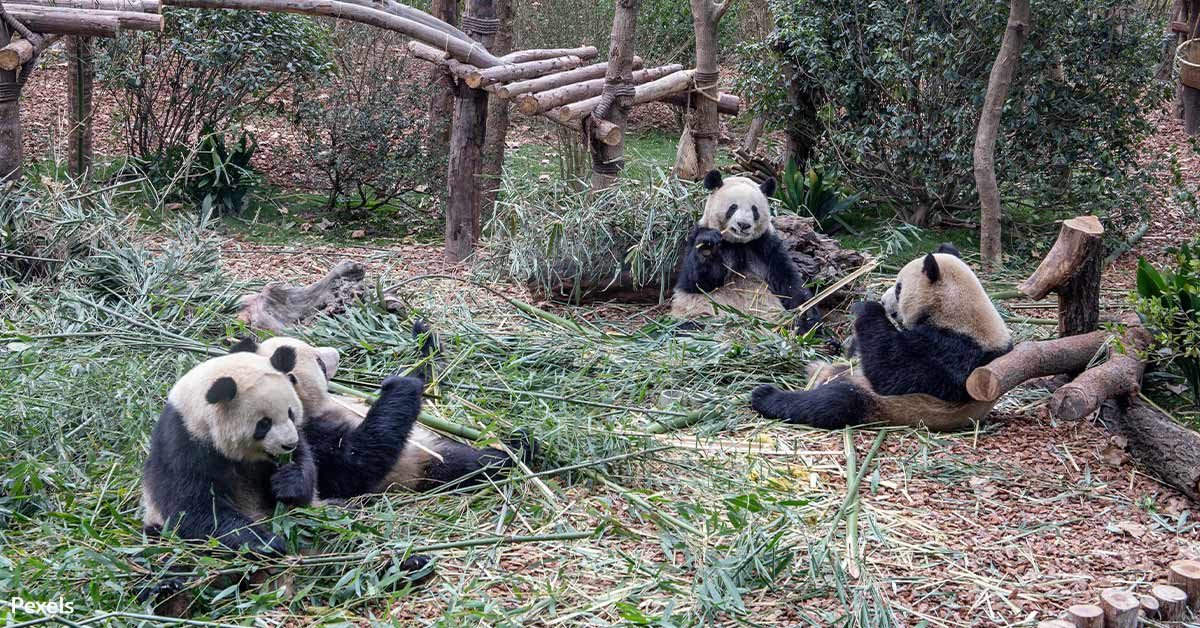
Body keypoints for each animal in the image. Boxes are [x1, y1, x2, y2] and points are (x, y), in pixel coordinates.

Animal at [141, 347, 315, 556]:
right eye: (264, 424)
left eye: (290, 413)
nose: (289, 444)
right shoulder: (183, 445)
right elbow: (194, 509)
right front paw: (266, 543)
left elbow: (304, 468)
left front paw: (287, 482)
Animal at [232, 323, 535, 497]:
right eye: (318, 361)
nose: (335, 354)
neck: (318, 407)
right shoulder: (307, 435)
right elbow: (355, 463)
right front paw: (403, 386)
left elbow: (424, 374)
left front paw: (423, 338)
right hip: (420, 464)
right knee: (471, 465)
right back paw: (517, 450)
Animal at [671, 169, 822, 333]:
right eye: (733, 207)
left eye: (754, 210)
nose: (743, 225)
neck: (738, 244)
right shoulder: (697, 236)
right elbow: (698, 282)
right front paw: (707, 247)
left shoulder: (766, 246)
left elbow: (788, 281)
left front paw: (808, 314)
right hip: (700, 314)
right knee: (688, 328)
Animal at [751, 243, 1012, 430]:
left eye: (898, 288)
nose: (886, 302)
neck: (958, 311)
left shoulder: (956, 352)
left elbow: (894, 372)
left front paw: (867, 308)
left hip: (884, 404)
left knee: (831, 403)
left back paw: (765, 395)